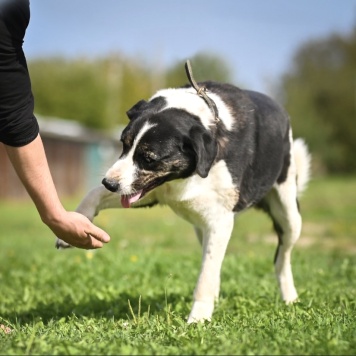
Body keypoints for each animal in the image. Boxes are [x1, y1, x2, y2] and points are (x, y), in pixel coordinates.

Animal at [57, 68, 310, 324]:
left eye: (148, 158)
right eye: (124, 145)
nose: (109, 183)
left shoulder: (219, 221)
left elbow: (206, 275)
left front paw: (198, 319)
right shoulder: (153, 191)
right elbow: (93, 194)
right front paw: (74, 228)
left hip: (288, 213)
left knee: (281, 257)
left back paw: (290, 298)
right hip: (200, 227)